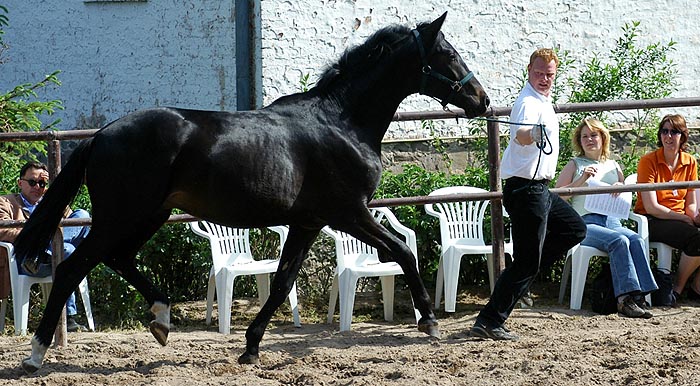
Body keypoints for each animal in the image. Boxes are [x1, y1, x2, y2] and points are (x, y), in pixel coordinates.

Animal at [15, 12, 486, 374]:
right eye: (448, 54)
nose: (481, 100)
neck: (342, 122)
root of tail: (101, 135)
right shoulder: (350, 213)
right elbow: (403, 253)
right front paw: (430, 322)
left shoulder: (308, 222)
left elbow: (281, 283)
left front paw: (251, 347)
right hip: (122, 216)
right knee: (72, 268)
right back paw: (36, 355)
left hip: (150, 216)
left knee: (117, 258)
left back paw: (162, 320)